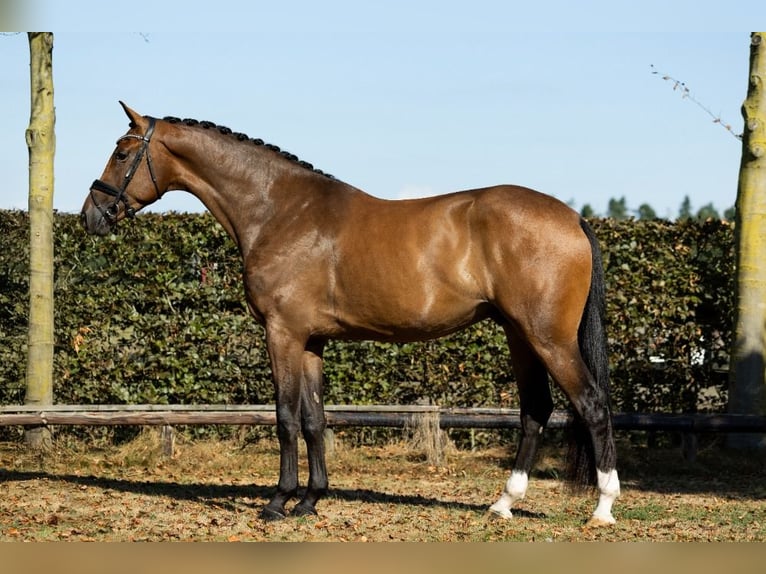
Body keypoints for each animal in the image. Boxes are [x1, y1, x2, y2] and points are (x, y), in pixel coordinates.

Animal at [81, 102, 620, 526]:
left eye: (123, 152)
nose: (91, 216)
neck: (279, 210)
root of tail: (572, 217)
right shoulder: (311, 341)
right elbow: (315, 418)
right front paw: (310, 500)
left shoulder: (282, 333)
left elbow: (285, 416)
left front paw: (278, 502)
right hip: (519, 335)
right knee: (535, 411)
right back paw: (503, 503)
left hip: (548, 338)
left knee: (592, 403)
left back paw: (602, 507)